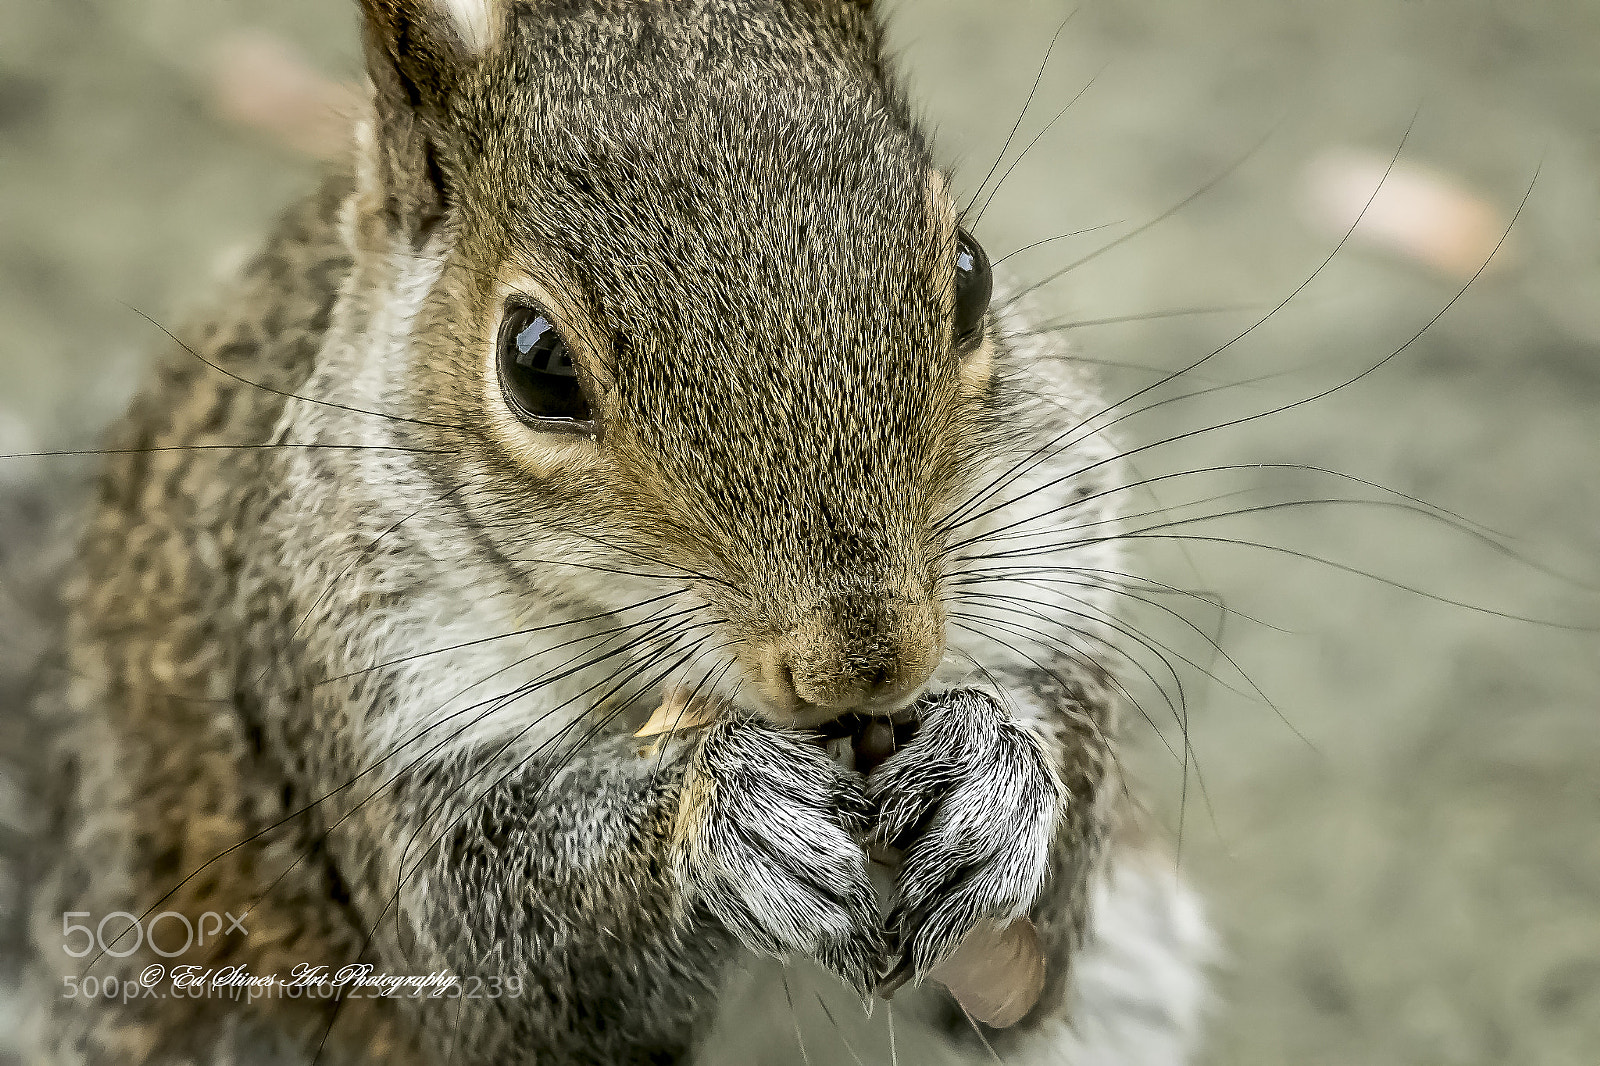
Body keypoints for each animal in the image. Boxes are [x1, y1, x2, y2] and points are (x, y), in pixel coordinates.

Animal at [27, 1, 1213, 1064]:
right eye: (535, 362)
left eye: (970, 275)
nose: (867, 665)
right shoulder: (349, 677)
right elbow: (500, 952)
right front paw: (723, 818)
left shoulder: (1054, 549)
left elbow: (1024, 968)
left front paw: (995, 778)